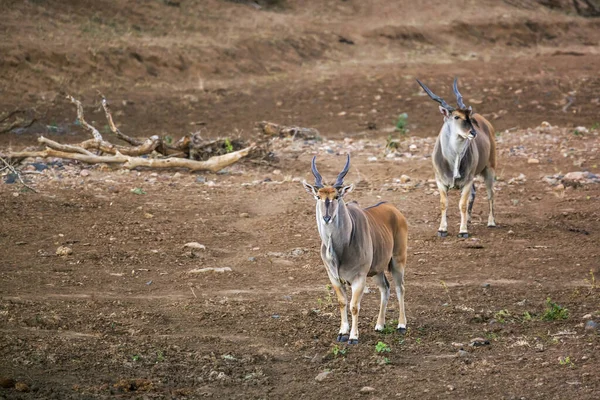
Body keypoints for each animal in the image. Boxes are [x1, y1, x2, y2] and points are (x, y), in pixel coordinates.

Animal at [302, 155, 410, 344]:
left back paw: (401, 325)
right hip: (377, 270)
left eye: (337, 196)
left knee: (399, 288)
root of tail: (395, 210)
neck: (340, 249)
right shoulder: (334, 277)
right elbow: (342, 302)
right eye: (318, 196)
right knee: (385, 288)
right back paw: (379, 325)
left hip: (398, 261)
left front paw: (353, 336)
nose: (326, 217)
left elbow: (354, 306)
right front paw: (342, 332)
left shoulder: (359, 277)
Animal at [418, 78, 496, 238]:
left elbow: (462, 204)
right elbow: (444, 203)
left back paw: (491, 222)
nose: (473, 132)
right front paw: (442, 229)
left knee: (490, 194)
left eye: (468, 116)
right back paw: (470, 220)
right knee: (475, 193)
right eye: (456, 116)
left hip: (490, 168)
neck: (454, 159)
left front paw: (463, 230)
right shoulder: (440, 181)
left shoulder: (467, 181)